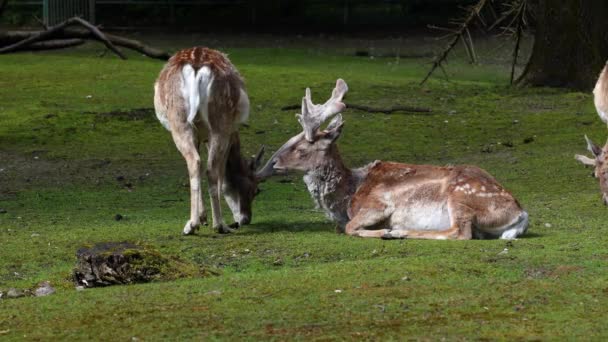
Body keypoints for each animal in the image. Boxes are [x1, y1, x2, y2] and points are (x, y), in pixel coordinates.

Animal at [258, 79, 528, 240]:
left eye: (301, 147)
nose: (271, 164)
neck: (347, 196)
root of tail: (521, 214)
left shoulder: (378, 204)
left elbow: (350, 228)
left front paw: (384, 230)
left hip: (462, 198)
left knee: (460, 232)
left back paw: (397, 232)